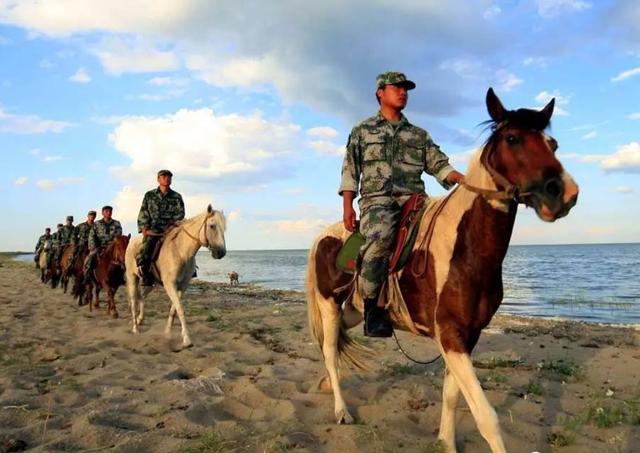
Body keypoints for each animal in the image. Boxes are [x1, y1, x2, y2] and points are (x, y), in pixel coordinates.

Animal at [124, 205, 226, 348]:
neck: (181, 252)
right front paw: (187, 339)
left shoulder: (182, 286)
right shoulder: (170, 285)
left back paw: (140, 319)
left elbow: (174, 310)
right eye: (212, 226)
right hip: (132, 277)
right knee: (134, 300)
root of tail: (131, 242)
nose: (221, 253)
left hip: (151, 282)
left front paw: (167, 332)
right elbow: (180, 309)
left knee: (142, 296)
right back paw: (135, 328)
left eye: (224, 227)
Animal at [306, 88, 579, 453]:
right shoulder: (451, 336)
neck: (466, 249)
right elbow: (486, 418)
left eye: (554, 144)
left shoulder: (467, 336)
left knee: (333, 348)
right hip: (330, 306)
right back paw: (341, 411)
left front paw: (445, 442)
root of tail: (323, 235)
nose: (565, 193)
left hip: (354, 308)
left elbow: (451, 396)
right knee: (330, 353)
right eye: (512, 138)